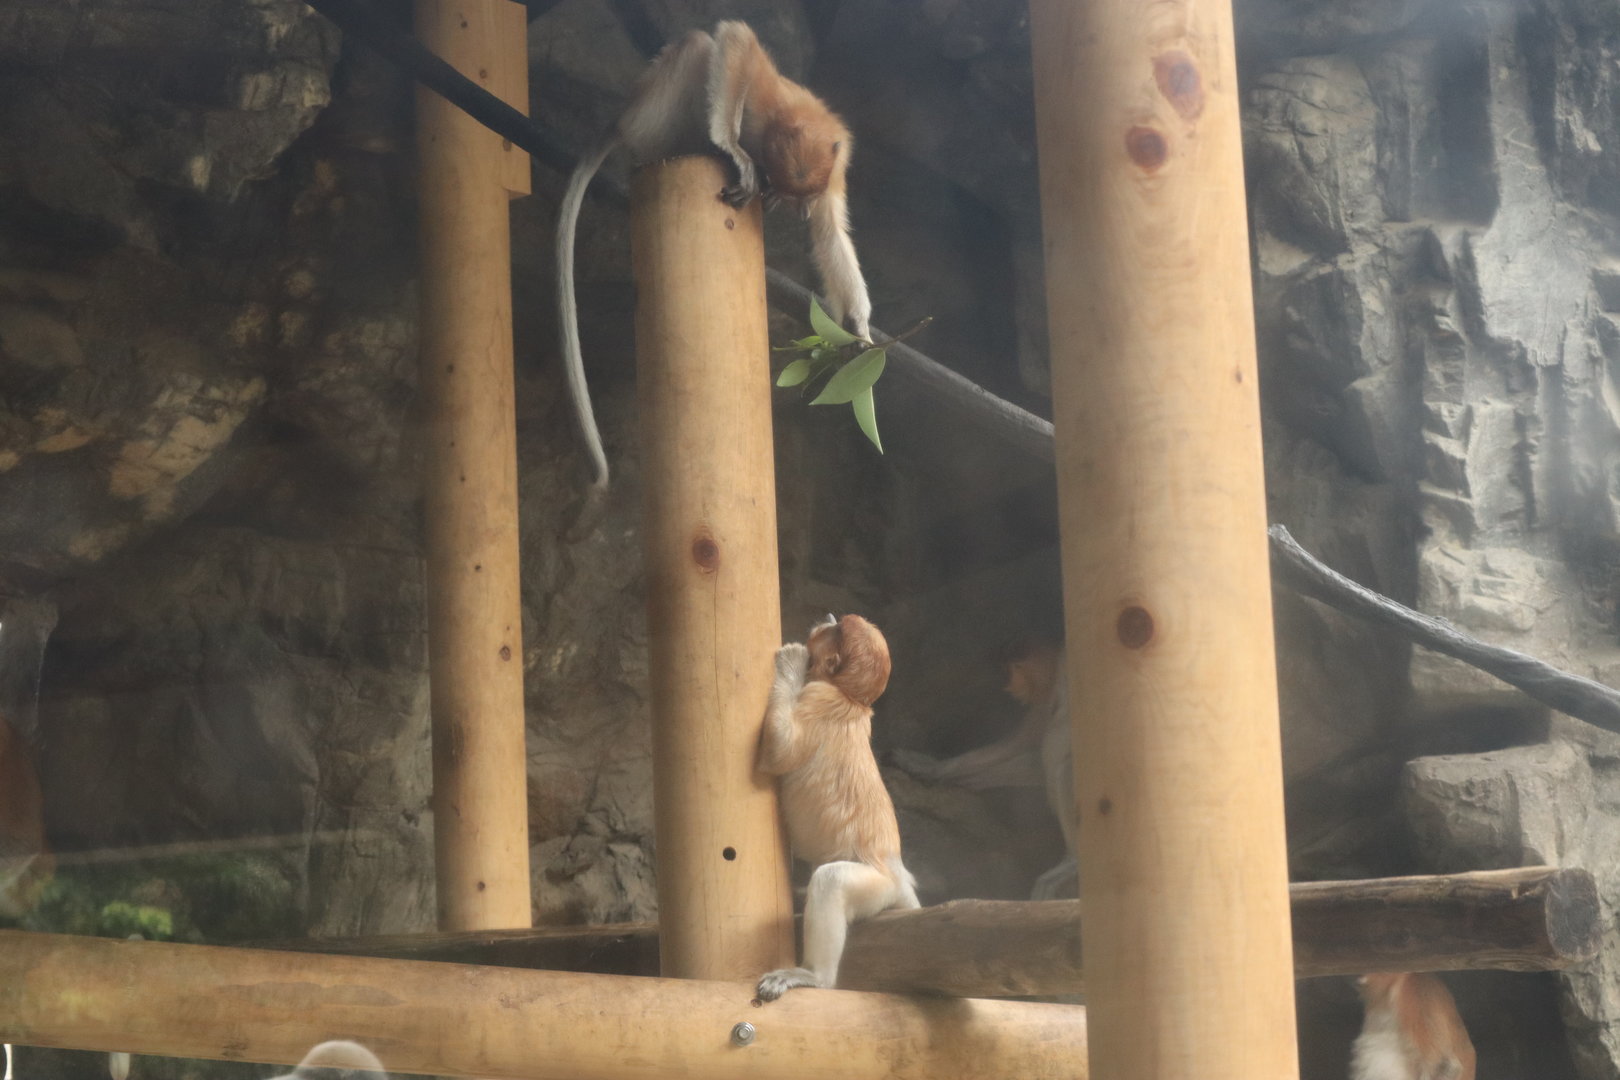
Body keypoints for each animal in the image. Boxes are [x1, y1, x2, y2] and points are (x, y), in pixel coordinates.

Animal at [557, 20, 872, 493]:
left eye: (807, 198)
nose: (799, 210)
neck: (785, 121)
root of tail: (623, 119)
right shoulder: (763, 90)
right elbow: (735, 40)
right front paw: (733, 148)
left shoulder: (834, 167)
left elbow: (831, 234)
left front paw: (857, 327)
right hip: (652, 115)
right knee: (699, 46)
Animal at [754, 614, 919, 1001]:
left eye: (836, 630)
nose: (827, 619)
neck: (850, 698)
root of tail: (896, 869)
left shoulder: (818, 698)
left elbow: (779, 752)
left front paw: (792, 659)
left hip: (877, 886)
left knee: (831, 880)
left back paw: (815, 976)